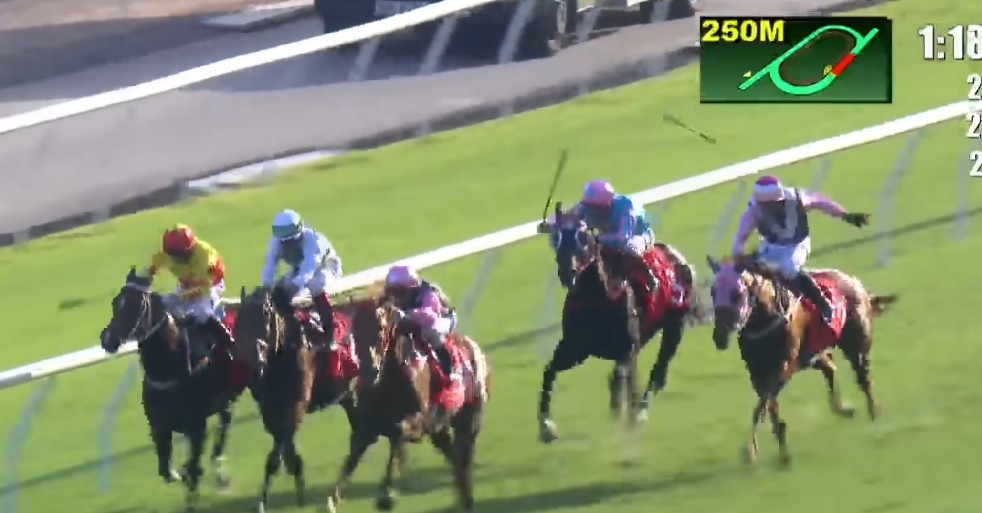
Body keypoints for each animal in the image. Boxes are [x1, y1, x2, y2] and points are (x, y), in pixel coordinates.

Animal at [101, 267, 252, 512]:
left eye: (135, 306)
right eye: (115, 303)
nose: (107, 339)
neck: (169, 369)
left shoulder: (196, 426)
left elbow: (193, 466)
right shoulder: (159, 426)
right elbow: (167, 470)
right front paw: (180, 472)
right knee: (225, 423)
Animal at [232, 285, 388, 513]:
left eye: (266, 313)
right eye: (240, 319)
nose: (255, 357)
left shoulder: (295, 406)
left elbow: (275, 455)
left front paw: (262, 502)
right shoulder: (269, 409)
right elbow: (285, 446)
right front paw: (297, 480)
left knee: (364, 434)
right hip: (349, 395)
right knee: (361, 434)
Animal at [324, 305, 490, 513]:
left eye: (381, 328)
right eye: (355, 330)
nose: (369, 371)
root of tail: (473, 346)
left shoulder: (420, 421)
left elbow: (397, 434)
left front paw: (385, 495)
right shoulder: (367, 428)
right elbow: (352, 458)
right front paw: (332, 500)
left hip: (469, 417)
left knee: (464, 458)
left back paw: (467, 498)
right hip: (441, 429)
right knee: (455, 458)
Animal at [538, 206, 702, 443]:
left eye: (583, 235)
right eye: (556, 236)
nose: (567, 272)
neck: (596, 299)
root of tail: (675, 255)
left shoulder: (626, 348)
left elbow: (620, 374)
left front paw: (620, 408)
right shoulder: (576, 349)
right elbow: (549, 371)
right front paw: (546, 426)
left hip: (675, 326)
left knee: (657, 373)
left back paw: (639, 413)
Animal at [707, 254, 898, 465]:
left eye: (736, 293)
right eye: (713, 292)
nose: (719, 337)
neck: (765, 318)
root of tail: (856, 283)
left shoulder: (783, 368)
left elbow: (764, 405)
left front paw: (752, 450)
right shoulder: (757, 373)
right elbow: (766, 406)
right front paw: (769, 448)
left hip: (855, 345)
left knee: (864, 379)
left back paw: (873, 412)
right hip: (810, 356)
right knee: (830, 366)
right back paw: (843, 409)